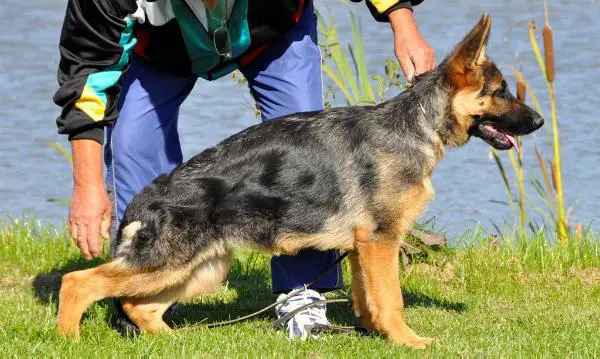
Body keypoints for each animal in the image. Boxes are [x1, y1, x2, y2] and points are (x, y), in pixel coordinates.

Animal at [57, 15, 544, 350]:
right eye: (501, 91)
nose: (539, 121)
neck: (416, 125)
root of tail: (145, 198)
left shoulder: (360, 249)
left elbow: (370, 298)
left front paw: (374, 334)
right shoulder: (380, 242)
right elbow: (393, 299)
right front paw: (409, 341)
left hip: (200, 270)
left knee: (138, 306)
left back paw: (176, 343)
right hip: (166, 266)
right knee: (79, 283)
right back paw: (69, 340)